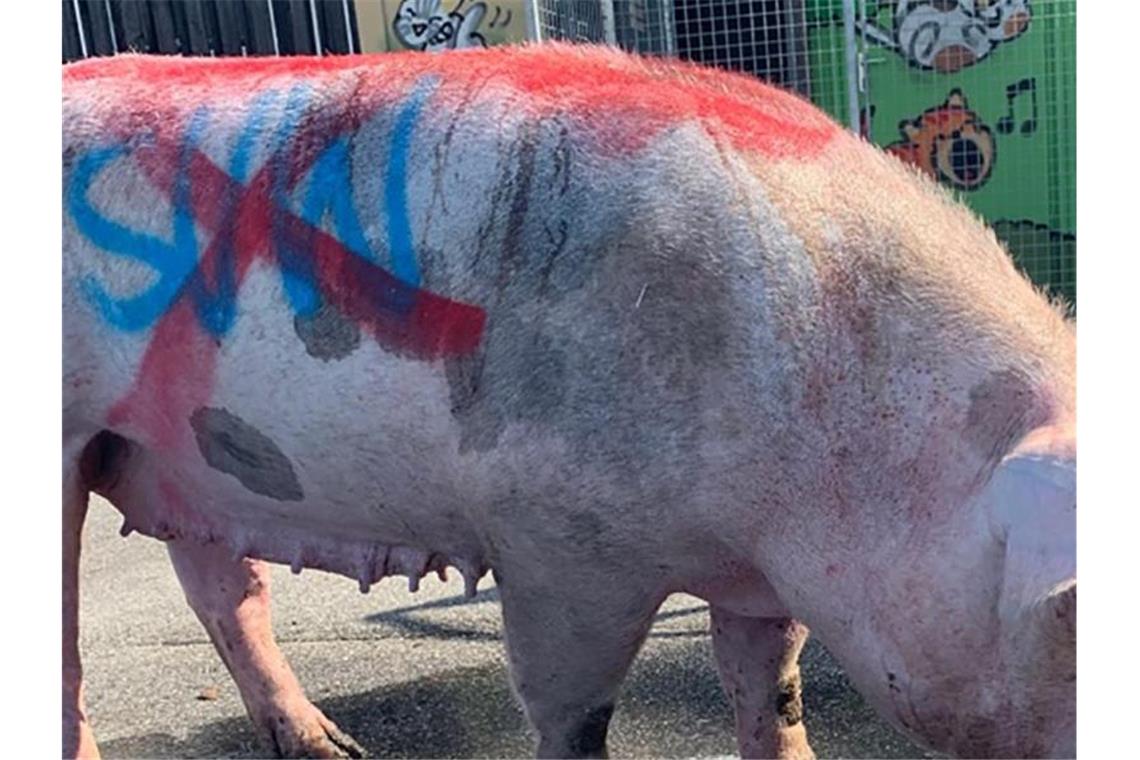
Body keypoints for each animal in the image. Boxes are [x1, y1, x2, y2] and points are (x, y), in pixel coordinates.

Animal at [64, 43, 1076, 760]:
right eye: (1071, 618)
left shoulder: (769, 577)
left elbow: (772, 691)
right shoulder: (555, 541)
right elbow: (574, 715)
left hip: (178, 453)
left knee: (224, 593)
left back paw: (332, 749)